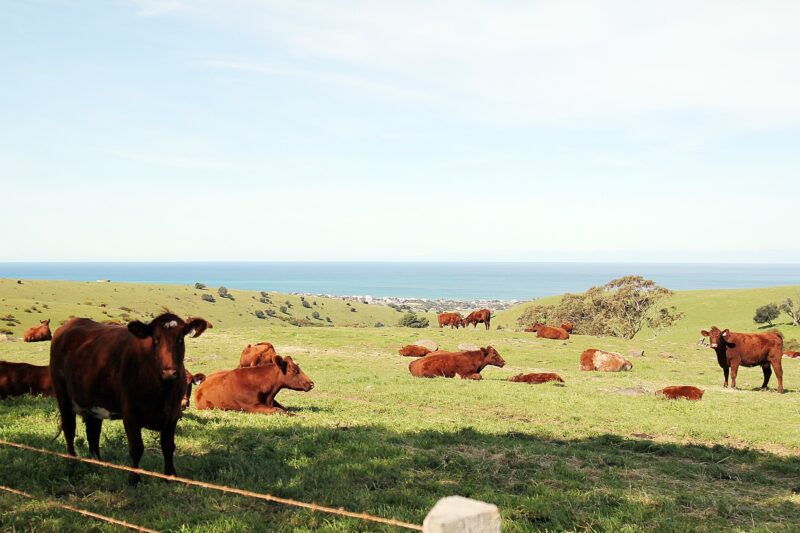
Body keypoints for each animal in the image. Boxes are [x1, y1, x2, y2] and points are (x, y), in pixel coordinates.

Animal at [49, 313, 212, 484]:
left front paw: (170, 476)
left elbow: (168, 446)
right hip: (63, 398)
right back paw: (71, 462)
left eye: (180, 338)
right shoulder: (130, 414)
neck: (161, 391)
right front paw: (134, 478)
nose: (169, 372)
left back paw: (98, 464)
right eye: (155, 339)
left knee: (93, 434)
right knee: (69, 429)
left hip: (93, 402)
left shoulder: (172, 415)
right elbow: (136, 448)